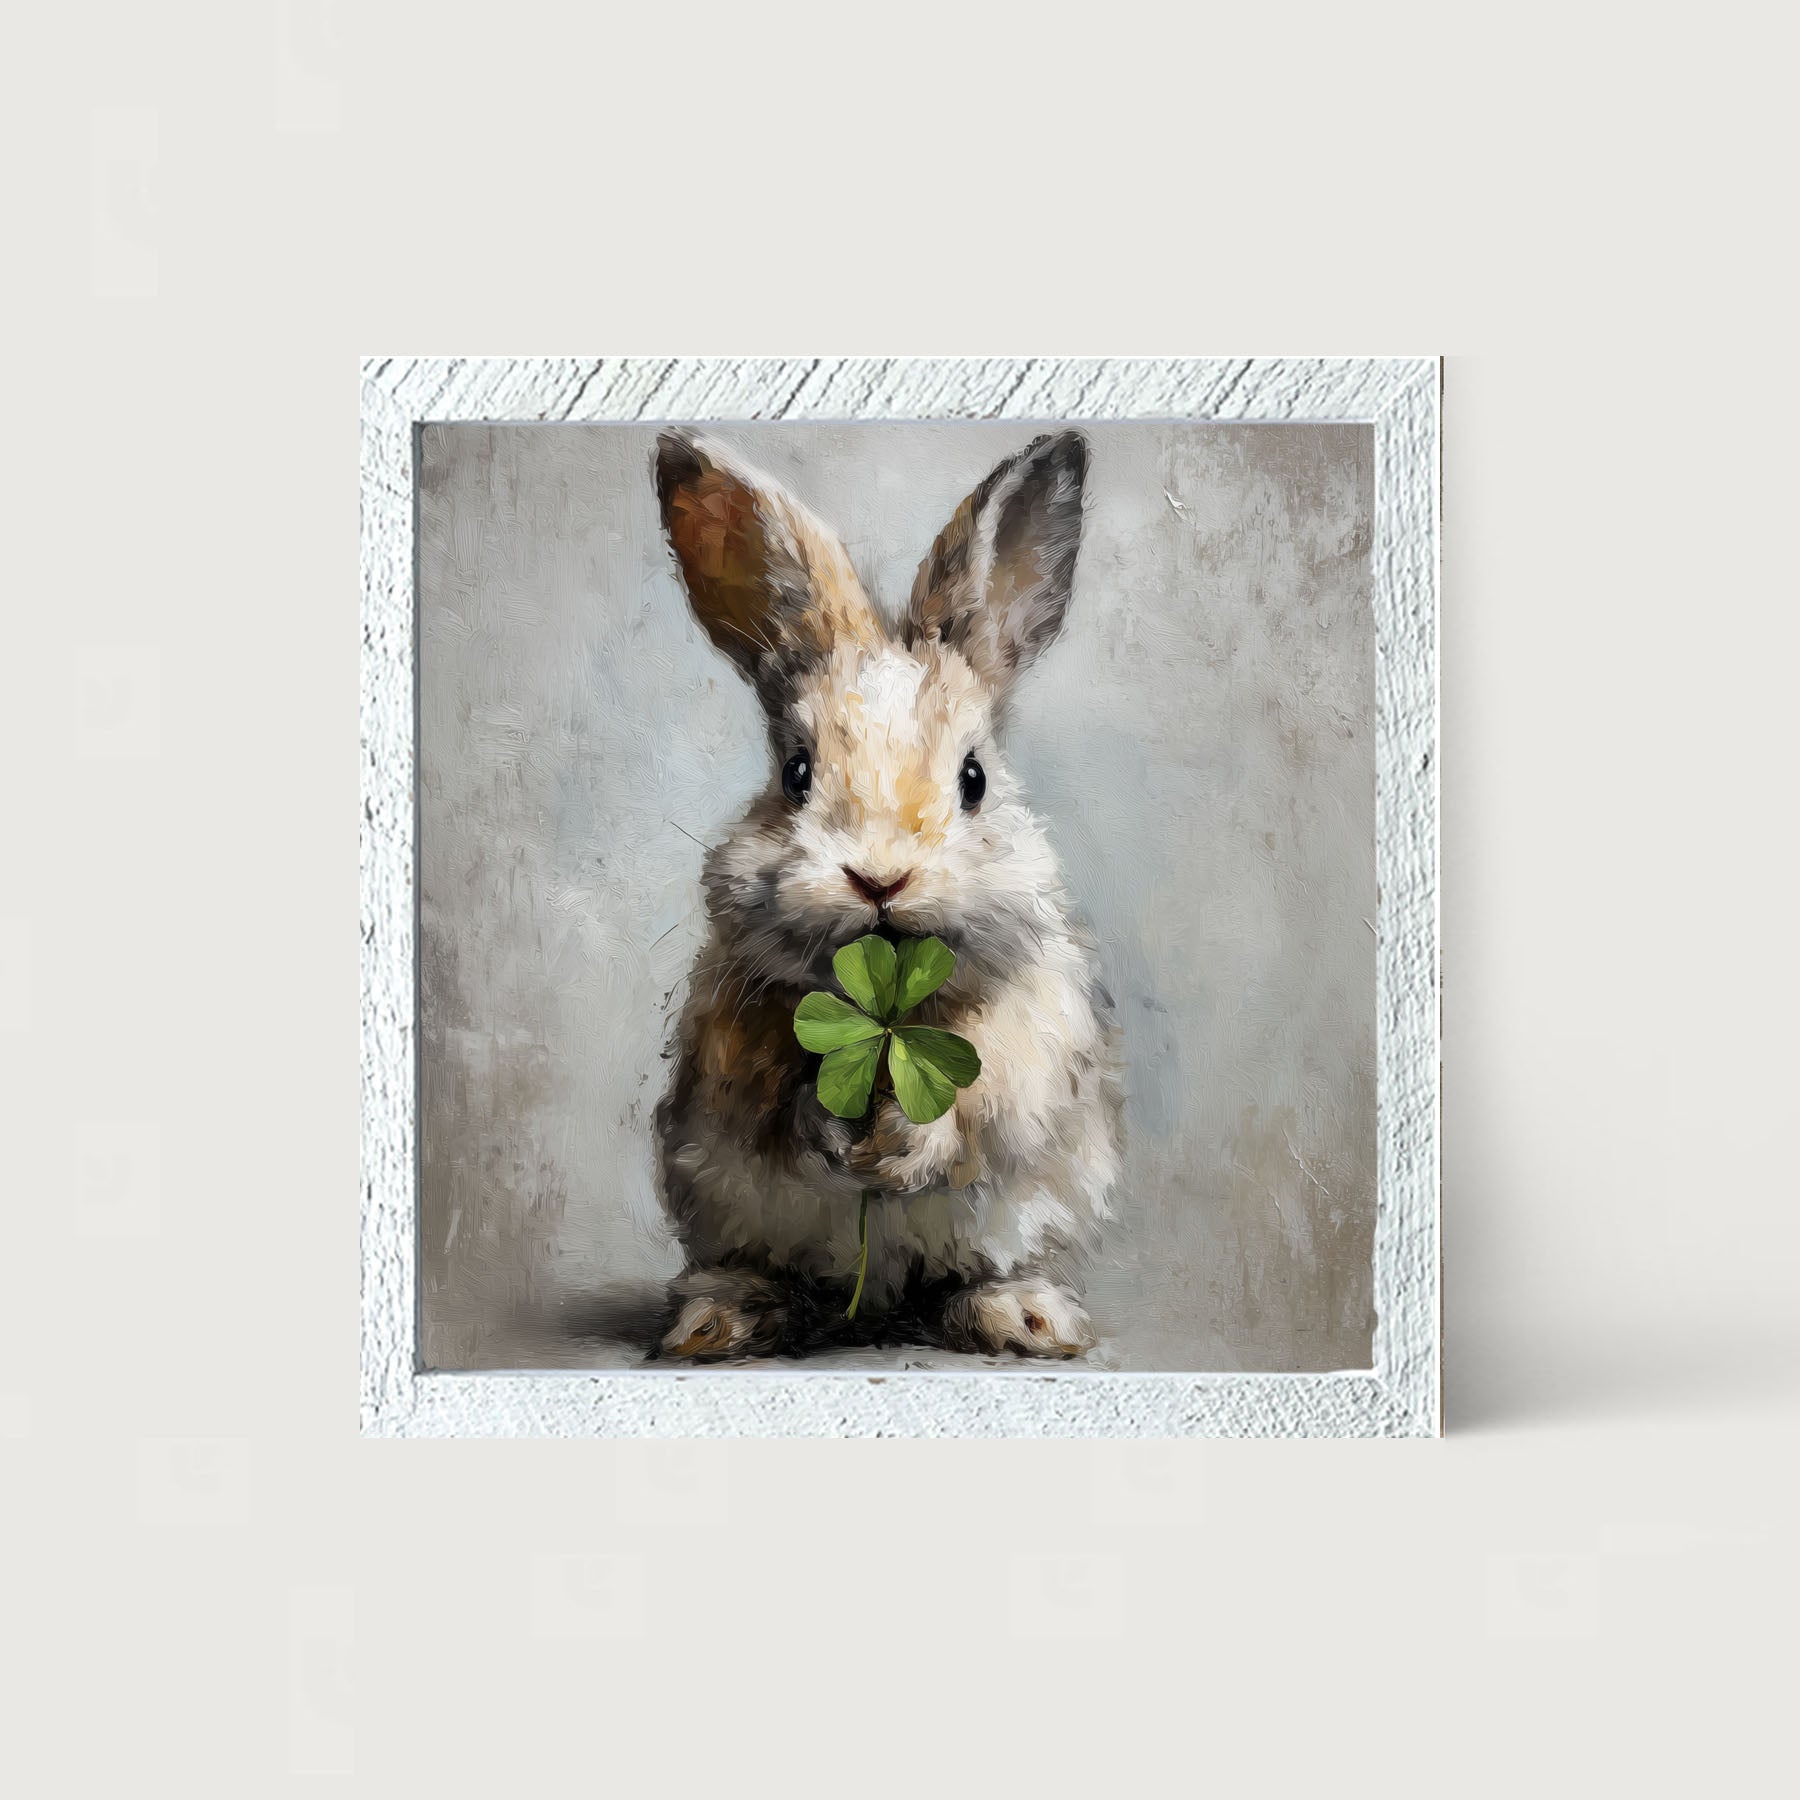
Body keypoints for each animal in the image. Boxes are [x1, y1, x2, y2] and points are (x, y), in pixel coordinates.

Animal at [650, 428, 1123, 1361]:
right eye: (796, 774)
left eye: (974, 778)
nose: (879, 878)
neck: (891, 1012)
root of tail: (878, 1303)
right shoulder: (733, 1042)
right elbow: (778, 1101)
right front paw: (840, 1135)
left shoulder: (1030, 1036)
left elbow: (982, 1097)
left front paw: (903, 1144)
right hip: (720, 1207)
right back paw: (722, 1319)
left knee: (978, 1272)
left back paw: (1026, 1316)